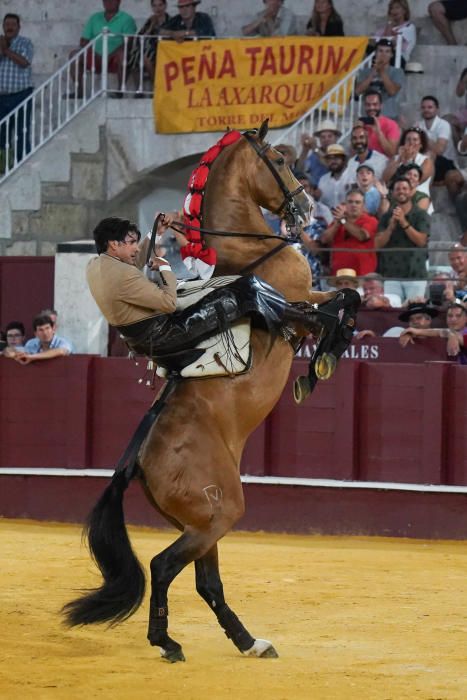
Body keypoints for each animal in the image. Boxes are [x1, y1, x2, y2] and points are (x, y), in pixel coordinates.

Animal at [63, 119, 354, 660]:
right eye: (280, 160)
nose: (306, 208)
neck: (249, 249)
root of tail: (135, 464)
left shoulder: (311, 293)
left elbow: (349, 293)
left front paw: (323, 359)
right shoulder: (297, 303)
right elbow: (340, 306)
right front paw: (321, 362)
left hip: (208, 520)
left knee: (205, 581)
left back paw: (249, 641)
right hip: (218, 514)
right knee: (163, 567)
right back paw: (167, 641)